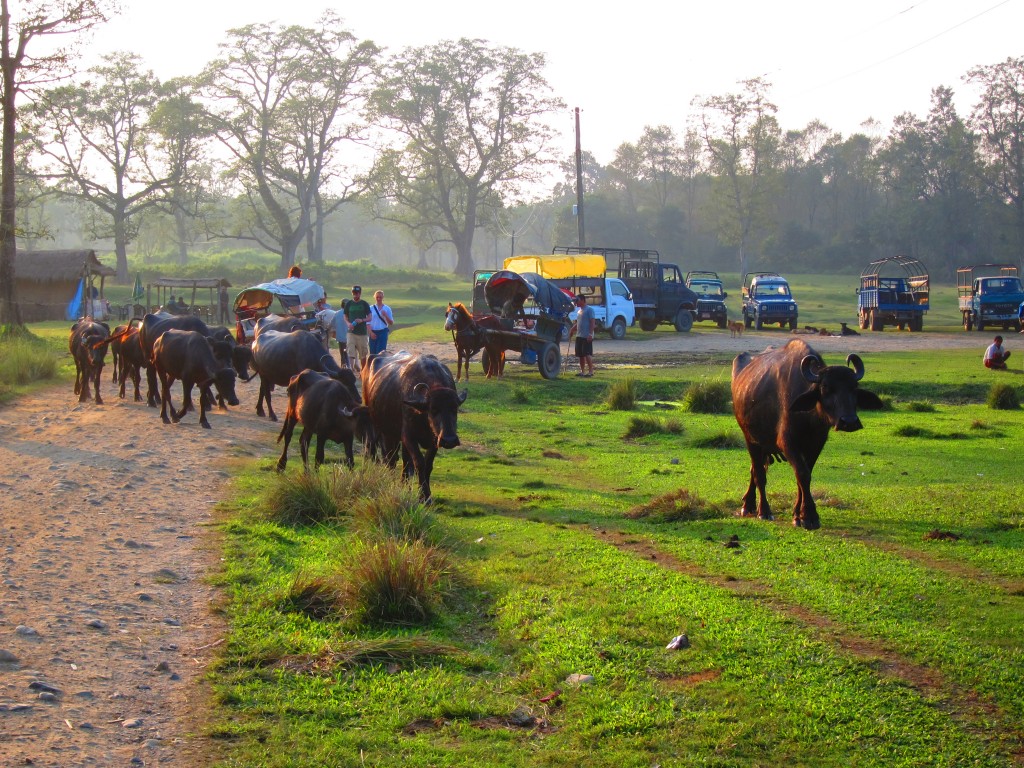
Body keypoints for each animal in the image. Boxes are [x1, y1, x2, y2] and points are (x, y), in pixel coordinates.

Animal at [360, 350, 468, 505]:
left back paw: (405, 485)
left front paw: (425, 495)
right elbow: (419, 463)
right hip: (382, 429)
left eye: (455, 409)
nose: (449, 440)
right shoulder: (408, 436)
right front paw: (424, 496)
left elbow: (427, 464)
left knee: (403, 461)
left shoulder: (435, 439)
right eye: (433, 410)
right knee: (389, 458)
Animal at [733, 339, 884, 532]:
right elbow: (802, 474)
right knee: (759, 473)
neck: (809, 418)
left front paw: (798, 515)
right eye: (826, 388)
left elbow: (804, 475)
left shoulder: (816, 444)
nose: (849, 421)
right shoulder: (788, 443)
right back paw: (763, 511)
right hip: (750, 439)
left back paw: (749, 504)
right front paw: (809, 517)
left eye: (854, 388)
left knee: (755, 469)